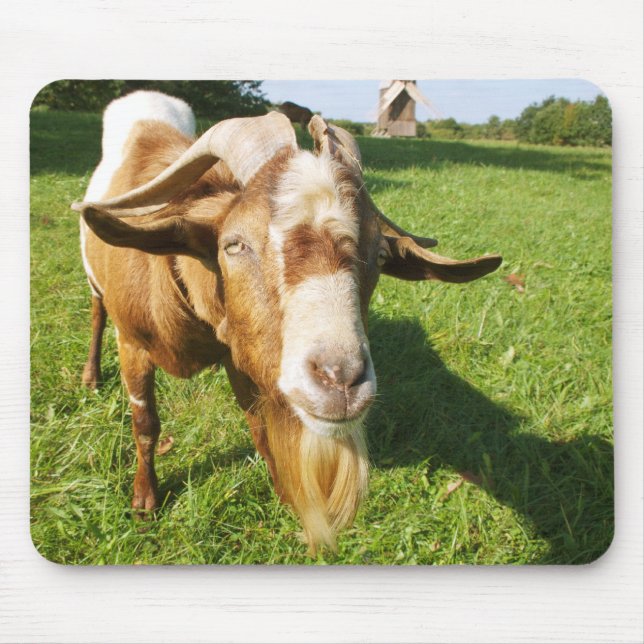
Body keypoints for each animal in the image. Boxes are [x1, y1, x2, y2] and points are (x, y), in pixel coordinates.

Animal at [73, 90, 502, 552]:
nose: (340, 379)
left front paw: (280, 493)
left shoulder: (240, 355)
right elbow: (145, 422)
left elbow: (259, 426)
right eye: (234, 245)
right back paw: (91, 376)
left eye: (381, 255)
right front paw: (145, 499)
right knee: (96, 313)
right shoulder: (133, 344)